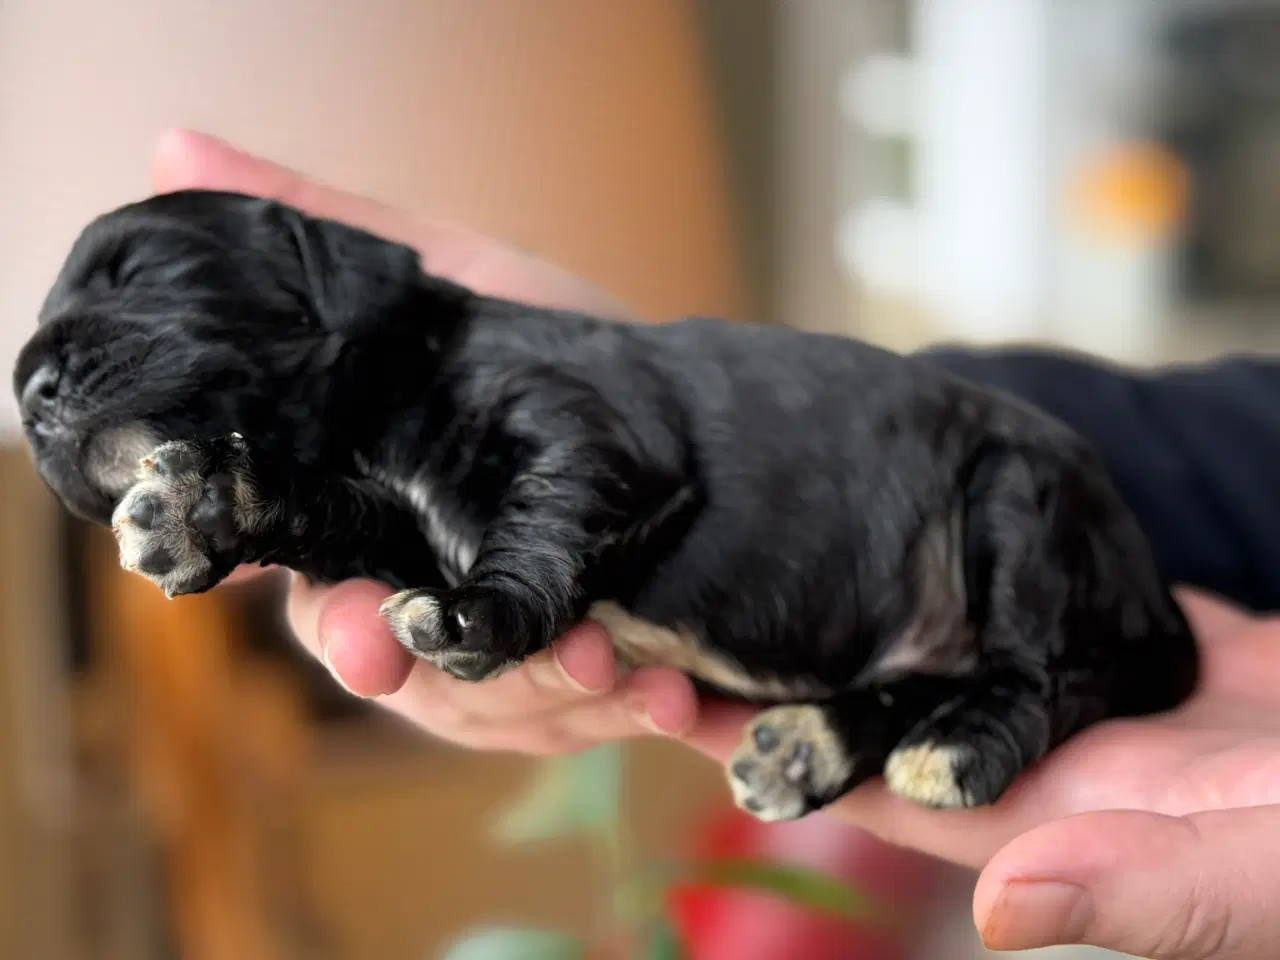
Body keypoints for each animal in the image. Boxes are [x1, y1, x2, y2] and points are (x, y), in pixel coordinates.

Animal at [15, 192, 1198, 824]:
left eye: (139, 267)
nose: (24, 391)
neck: (388, 385)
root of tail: (1153, 588)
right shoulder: (393, 522)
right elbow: (330, 509)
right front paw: (207, 506)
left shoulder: (592, 427)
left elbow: (544, 514)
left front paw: (483, 615)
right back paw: (815, 744)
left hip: (1020, 503)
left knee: (1050, 673)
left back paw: (961, 746)